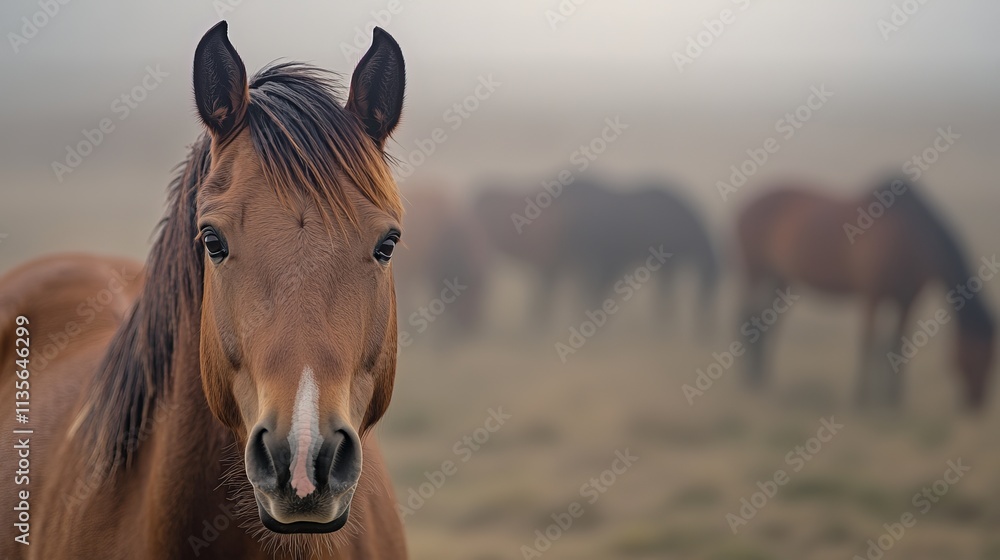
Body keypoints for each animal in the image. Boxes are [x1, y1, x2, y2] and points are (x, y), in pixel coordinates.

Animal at [736, 177, 995, 409]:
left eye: (993, 355)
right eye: (978, 352)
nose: (977, 403)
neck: (908, 236)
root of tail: (746, 206)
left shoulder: (907, 301)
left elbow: (898, 343)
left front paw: (893, 399)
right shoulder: (872, 296)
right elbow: (869, 341)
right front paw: (860, 398)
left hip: (781, 279)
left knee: (769, 323)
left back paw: (764, 378)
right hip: (754, 272)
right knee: (749, 318)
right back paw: (750, 379)